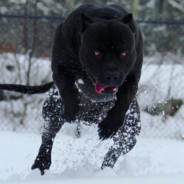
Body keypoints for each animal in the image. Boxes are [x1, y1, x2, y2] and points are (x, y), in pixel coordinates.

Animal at [0, 3, 142, 175]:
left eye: (124, 53)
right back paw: (41, 164)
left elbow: (124, 99)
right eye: (96, 52)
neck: (105, 17)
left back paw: (104, 171)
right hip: (52, 113)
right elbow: (67, 90)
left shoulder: (133, 77)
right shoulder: (60, 69)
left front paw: (111, 125)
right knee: (48, 138)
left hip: (130, 133)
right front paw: (71, 110)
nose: (112, 75)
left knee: (114, 152)